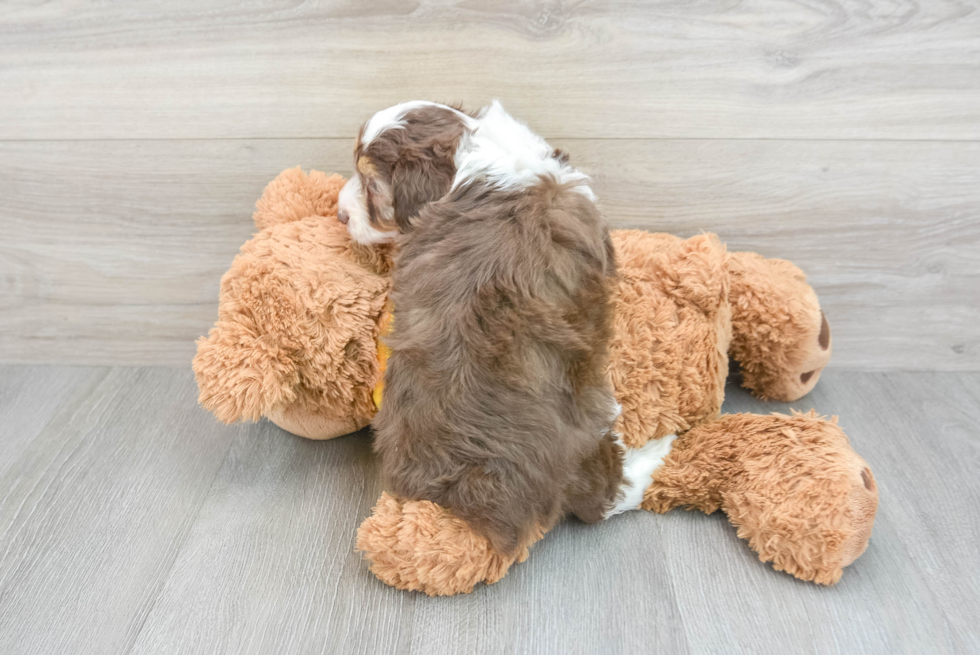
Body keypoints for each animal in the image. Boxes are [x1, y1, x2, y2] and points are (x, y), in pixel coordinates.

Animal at [338, 102, 672, 560]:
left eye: (371, 186)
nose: (339, 214)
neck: (476, 153)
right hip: (589, 427)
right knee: (606, 494)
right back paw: (654, 455)